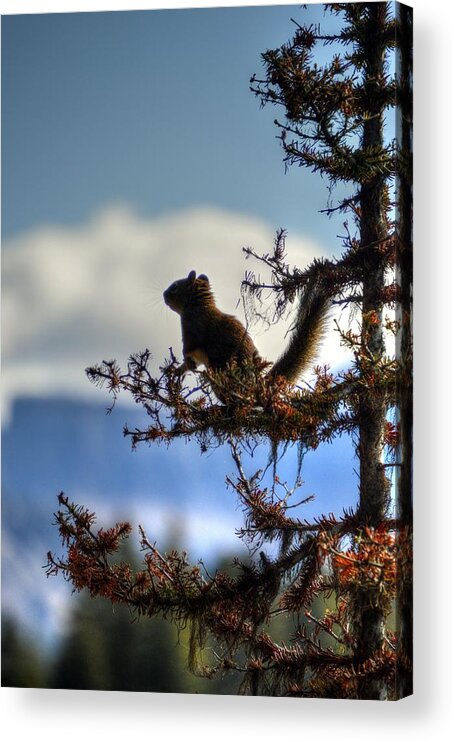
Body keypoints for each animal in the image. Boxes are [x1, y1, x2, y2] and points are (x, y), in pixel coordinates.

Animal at [163, 272, 330, 386]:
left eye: (174, 287)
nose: (164, 295)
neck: (198, 305)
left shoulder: (191, 327)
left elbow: (189, 350)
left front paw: (185, 364)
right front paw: (179, 370)